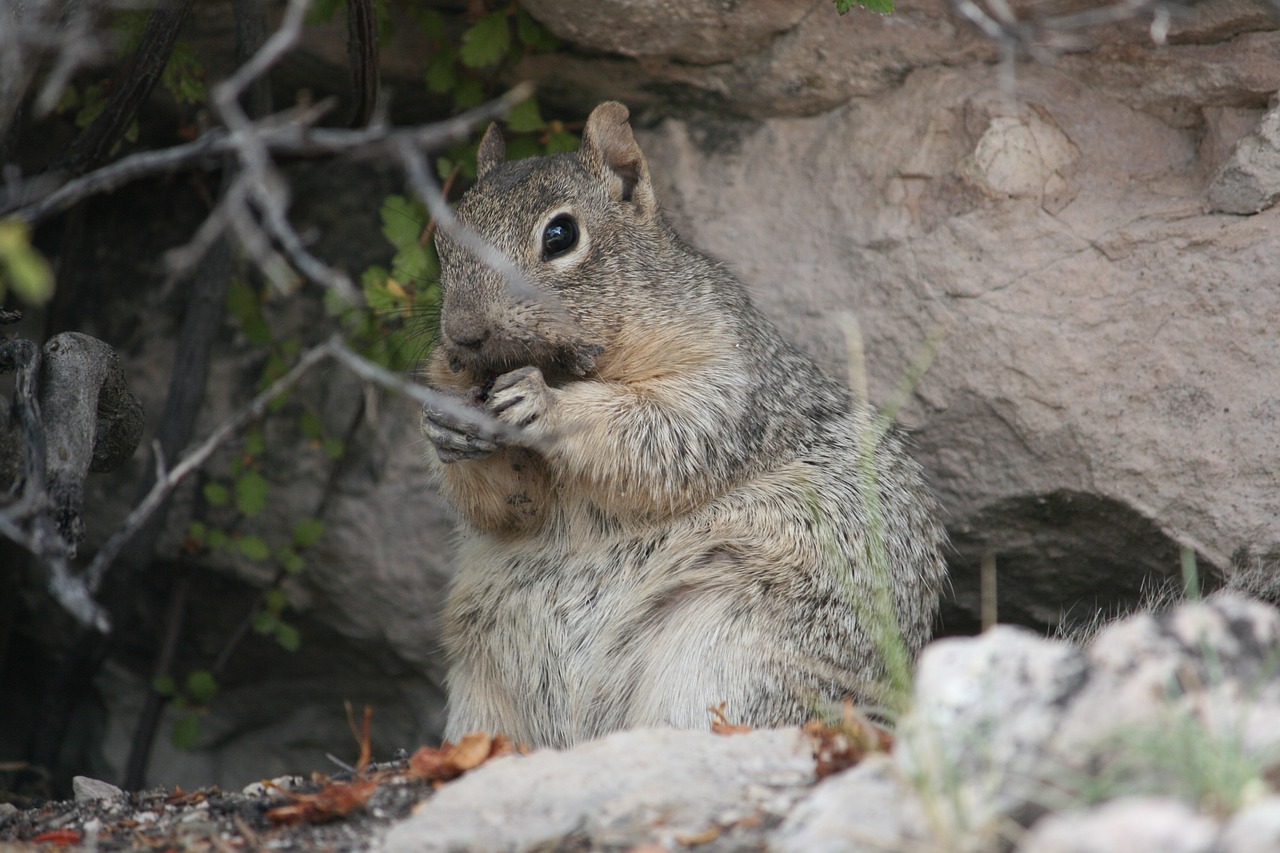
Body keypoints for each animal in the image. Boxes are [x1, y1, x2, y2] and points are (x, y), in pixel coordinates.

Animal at [422, 103, 952, 747]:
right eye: (442, 240)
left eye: (560, 235)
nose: (462, 334)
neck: (564, 363)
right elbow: (508, 506)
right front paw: (446, 424)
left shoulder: (721, 375)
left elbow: (662, 430)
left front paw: (547, 405)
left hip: (737, 650)